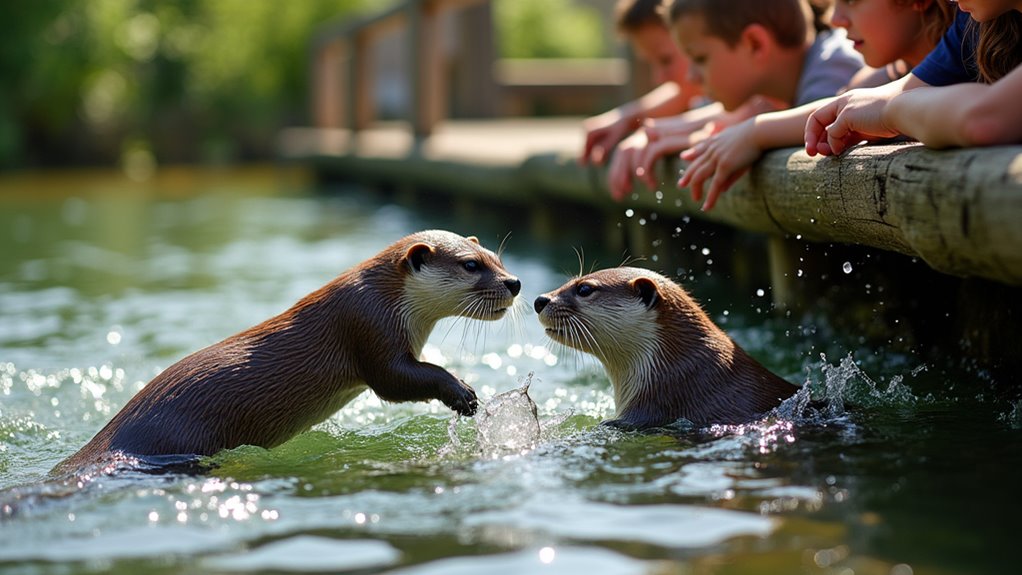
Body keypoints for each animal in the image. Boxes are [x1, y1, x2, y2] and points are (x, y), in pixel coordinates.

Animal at [54, 230, 521, 475]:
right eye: (471, 265)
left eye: (496, 257)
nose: (514, 282)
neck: (391, 300)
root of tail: (112, 438)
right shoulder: (369, 326)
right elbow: (394, 380)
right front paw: (462, 392)